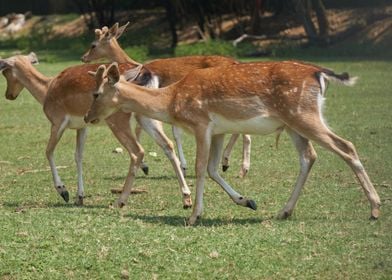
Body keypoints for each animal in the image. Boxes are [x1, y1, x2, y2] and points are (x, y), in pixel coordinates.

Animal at [0, 53, 192, 208]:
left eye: (5, 72)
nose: (9, 95)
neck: (46, 89)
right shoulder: (82, 126)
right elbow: (78, 156)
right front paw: (79, 197)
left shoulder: (57, 120)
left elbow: (48, 151)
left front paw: (64, 192)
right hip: (146, 115)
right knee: (167, 144)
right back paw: (186, 198)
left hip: (117, 118)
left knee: (138, 151)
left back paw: (121, 201)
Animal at [81, 21, 253, 177]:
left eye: (93, 45)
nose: (83, 57)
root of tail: (236, 62)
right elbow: (172, 131)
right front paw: (181, 166)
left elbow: (153, 130)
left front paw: (152, 166)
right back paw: (228, 164)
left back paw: (240, 167)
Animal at [84, 61, 382, 225]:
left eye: (96, 93)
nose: (87, 116)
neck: (171, 101)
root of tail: (319, 73)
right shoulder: (219, 131)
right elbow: (214, 168)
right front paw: (247, 200)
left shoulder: (201, 123)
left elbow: (200, 167)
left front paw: (194, 216)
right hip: (293, 123)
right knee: (309, 157)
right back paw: (284, 211)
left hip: (302, 114)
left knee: (346, 146)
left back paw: (375, 208)